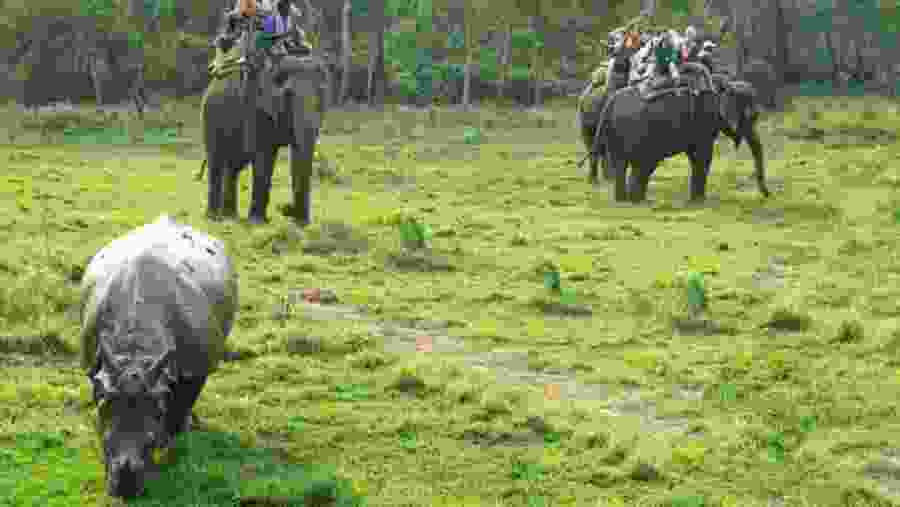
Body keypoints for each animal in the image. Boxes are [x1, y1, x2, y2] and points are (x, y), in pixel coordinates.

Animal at [79, 215, 238, 498]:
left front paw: (171, 448)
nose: (126, 487)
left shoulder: (195, 370)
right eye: (102, 417)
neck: (136, 348)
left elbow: (180, 406)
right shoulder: (94, 365)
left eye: (157, 414)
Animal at [202, 42, 329, 225]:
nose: (285, 208)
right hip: (211, 114)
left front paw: (301, 224)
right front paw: (257, 222)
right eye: (287, 94)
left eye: (321, 98)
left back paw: (230, 216)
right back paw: (214, 218)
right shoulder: (257, 107)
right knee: (217, 160)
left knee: (234, 165)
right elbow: (264, 154)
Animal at [591, 64, 769, 203]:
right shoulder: (704, 119)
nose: (767, 195)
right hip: (634, 130)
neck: (725, 83)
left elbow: (696, 156)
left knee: (626, 163)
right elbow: (703, 156)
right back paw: (636, 200)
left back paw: (628, 200)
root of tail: (610, 102)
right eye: (750, 117)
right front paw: (699, 201)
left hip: (618, 131)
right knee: (642, 163)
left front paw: (696, 200)